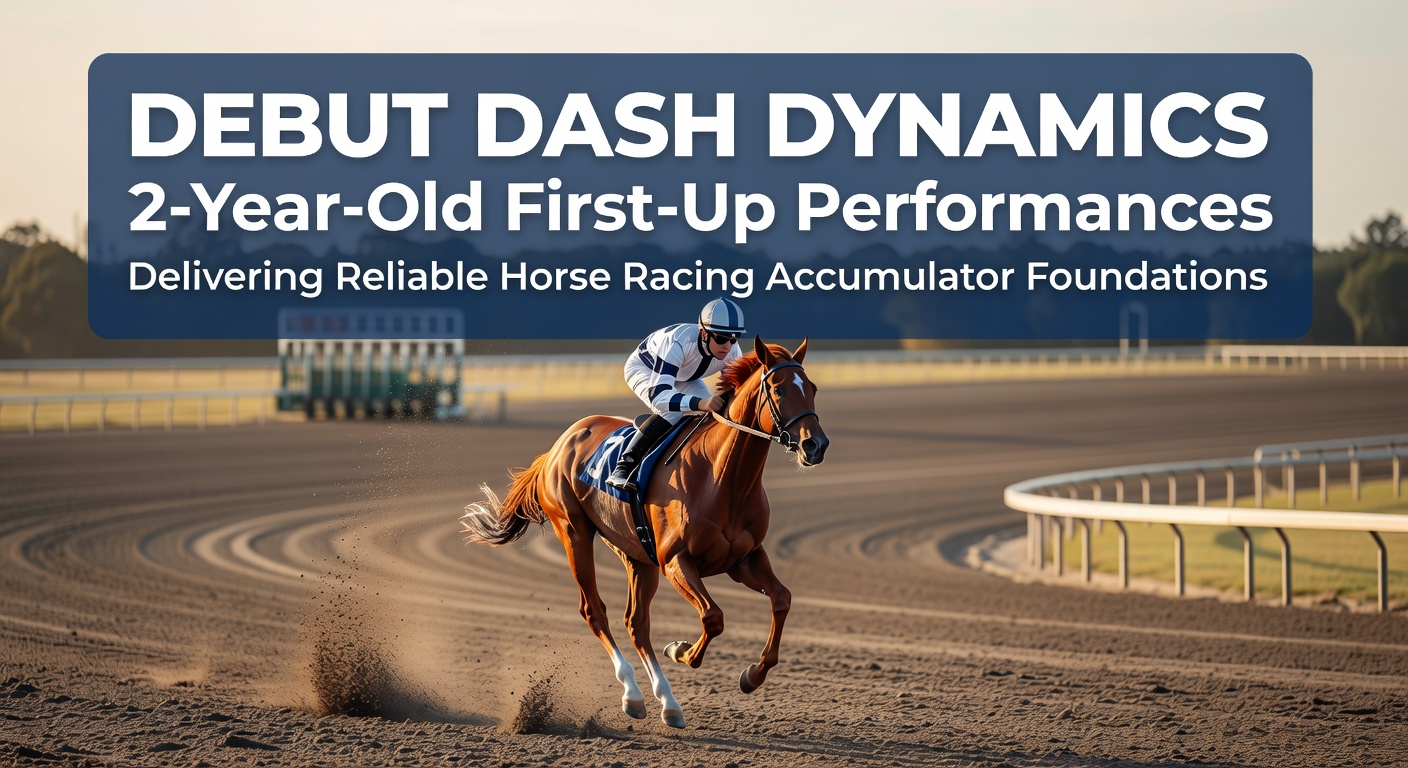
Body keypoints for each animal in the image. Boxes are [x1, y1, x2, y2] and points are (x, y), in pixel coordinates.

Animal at [459, 336, 828, 728]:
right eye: (778, 389)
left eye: (813, 388)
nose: (816, 445)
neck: (722, 479)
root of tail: (559, 445)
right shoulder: (676, 561)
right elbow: (713, 617)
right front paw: (682, 651)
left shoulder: (744, 559)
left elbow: (782, 599)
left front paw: (753, 675)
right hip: (574, 532)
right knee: (595, 611)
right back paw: (633, 694)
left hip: (636, 555)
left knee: (636, 623)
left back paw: (667, 703)